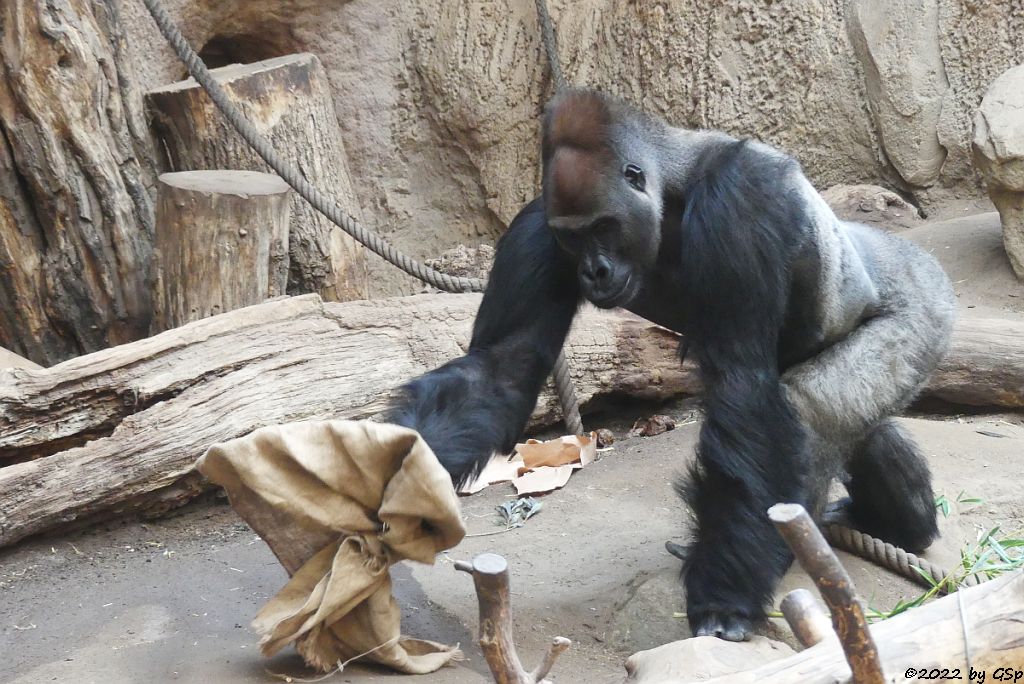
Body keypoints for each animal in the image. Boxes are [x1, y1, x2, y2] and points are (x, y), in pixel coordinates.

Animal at [387, 89, 954, 643]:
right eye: (574, 237)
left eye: (604, 227)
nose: (594, 271)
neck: (673, 186)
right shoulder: (537, 226)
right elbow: (503, 366)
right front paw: (397, 483)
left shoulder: (738, 198)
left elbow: (743, 386)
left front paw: (724, 597)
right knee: (854, 426)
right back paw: (897, 521)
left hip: (925, 305)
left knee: (812, 405)